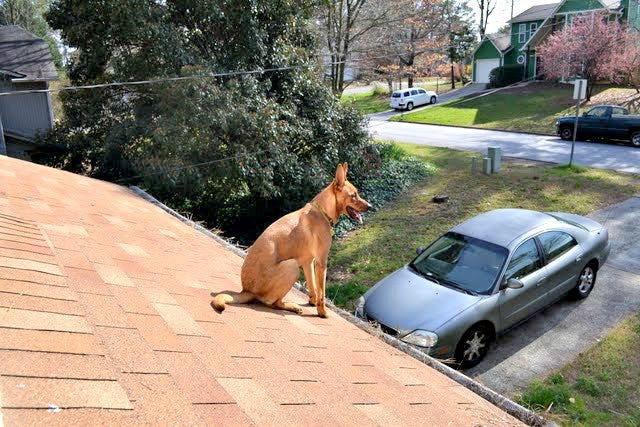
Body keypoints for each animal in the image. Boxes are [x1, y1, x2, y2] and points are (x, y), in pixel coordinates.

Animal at [210, 164, 370, 318]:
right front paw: (322, 312)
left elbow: (313, 287)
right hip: (292, 267)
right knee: (272, 303)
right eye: (354, 195)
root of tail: (246, 290)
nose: (370, 206)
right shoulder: (321, 263)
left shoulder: (308, 262)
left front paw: (312, 302)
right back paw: (291, 306)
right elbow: (322, 293)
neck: (322, 211)